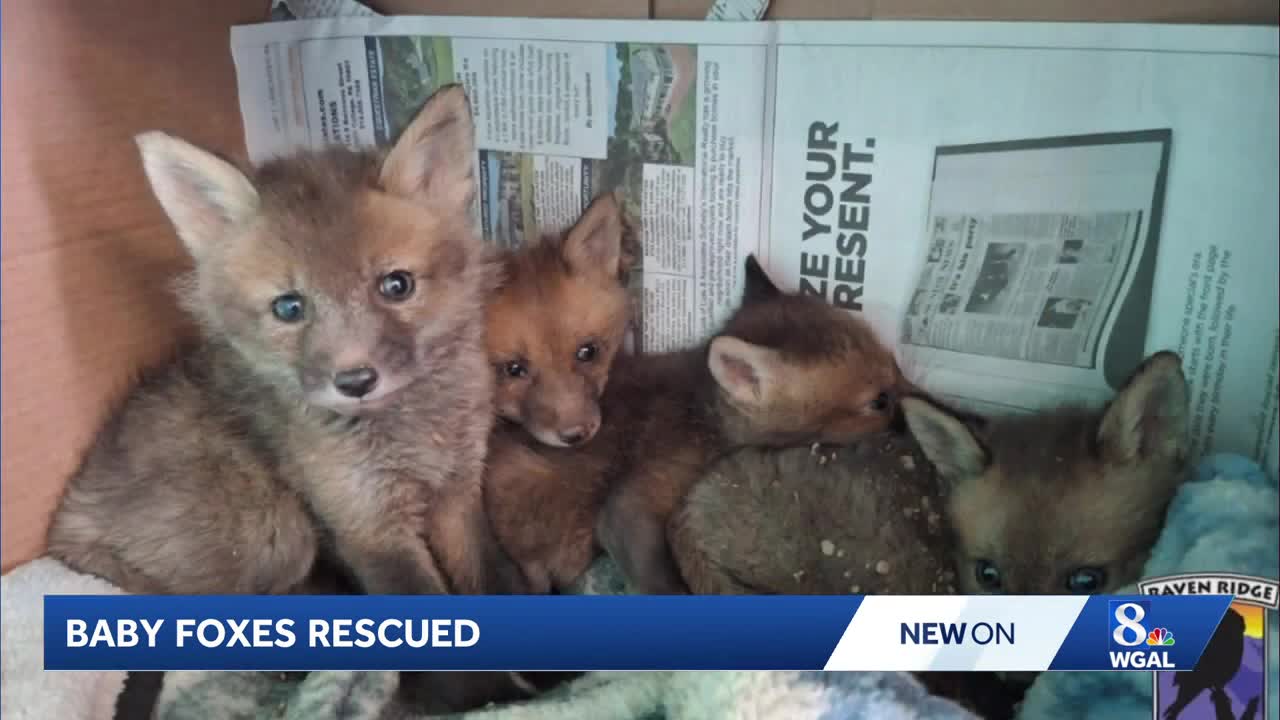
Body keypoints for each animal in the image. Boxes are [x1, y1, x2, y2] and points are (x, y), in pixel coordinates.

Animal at [46, 84, 522, 599]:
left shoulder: (459, 491)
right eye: (289, 308)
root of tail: (68, 518)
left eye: (397, 285)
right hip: (278, 530)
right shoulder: (367, 525)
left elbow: (495, 577)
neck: (415, 434)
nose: (355, 381)